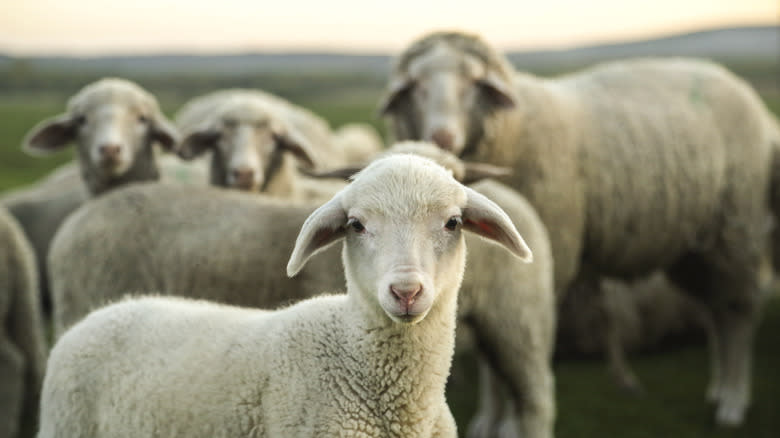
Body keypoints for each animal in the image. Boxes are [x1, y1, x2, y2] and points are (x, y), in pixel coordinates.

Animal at [380, 30, 780, 424]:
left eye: (475, 83)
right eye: (416, 85)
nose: (442, 137)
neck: (515, 131)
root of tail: (732, 79)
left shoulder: (534, 269)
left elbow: (509, 355)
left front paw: (506, 421)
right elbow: (488, 356)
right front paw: (487, 419)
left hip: (736, 228)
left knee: (737, 313)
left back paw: (733, 401)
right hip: (695, 246)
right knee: (715, 311)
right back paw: (719, 389)